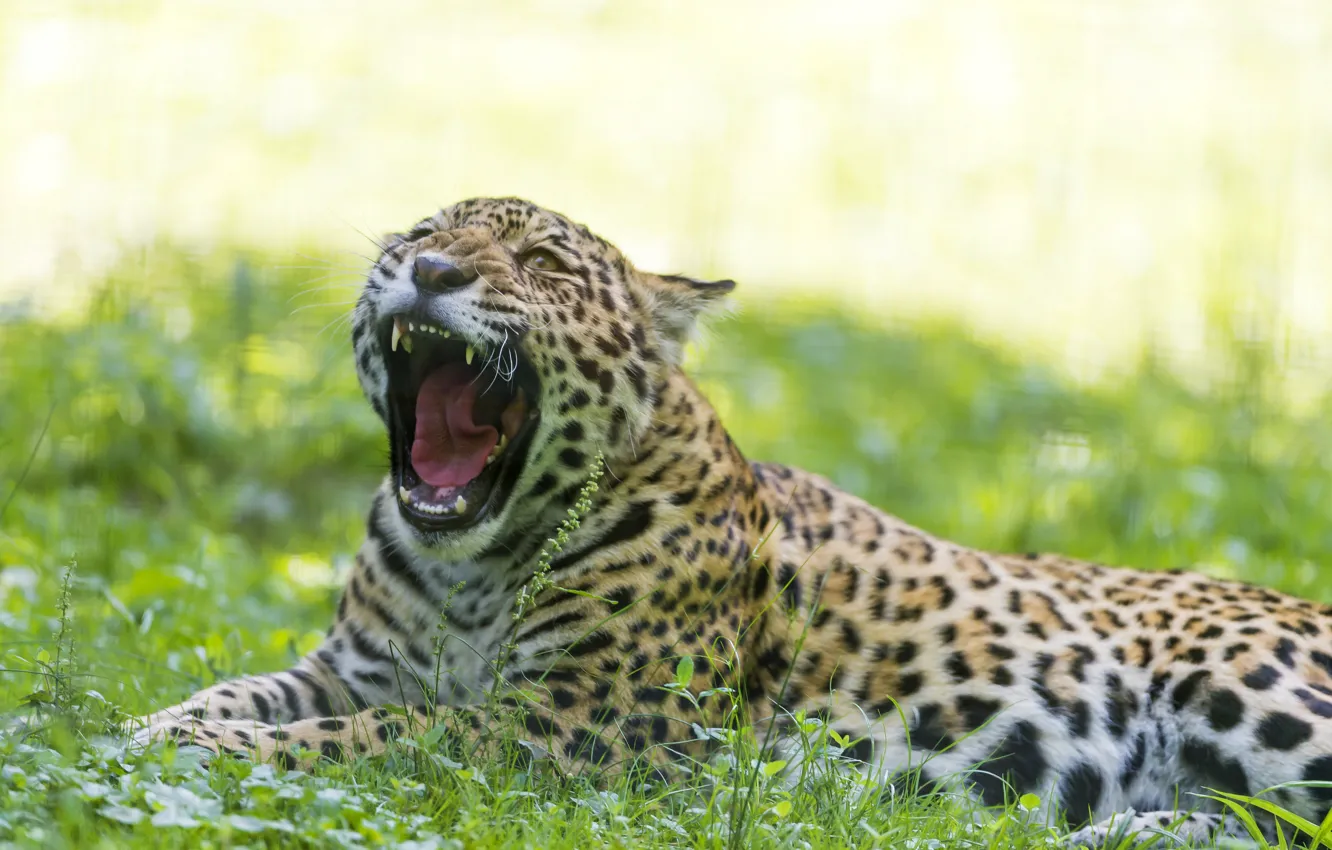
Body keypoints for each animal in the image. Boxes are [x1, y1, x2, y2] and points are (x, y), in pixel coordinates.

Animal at [136, 196, 1332, 847]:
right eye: (422, 234)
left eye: (542, 265)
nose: (428, 270)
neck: (470, 567)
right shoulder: (356, 666)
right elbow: (263, 690)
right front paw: (159, 721)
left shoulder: (576, 725)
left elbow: (384, 736)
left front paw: (207, 744)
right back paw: (1136, 830)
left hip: (1251, 689)